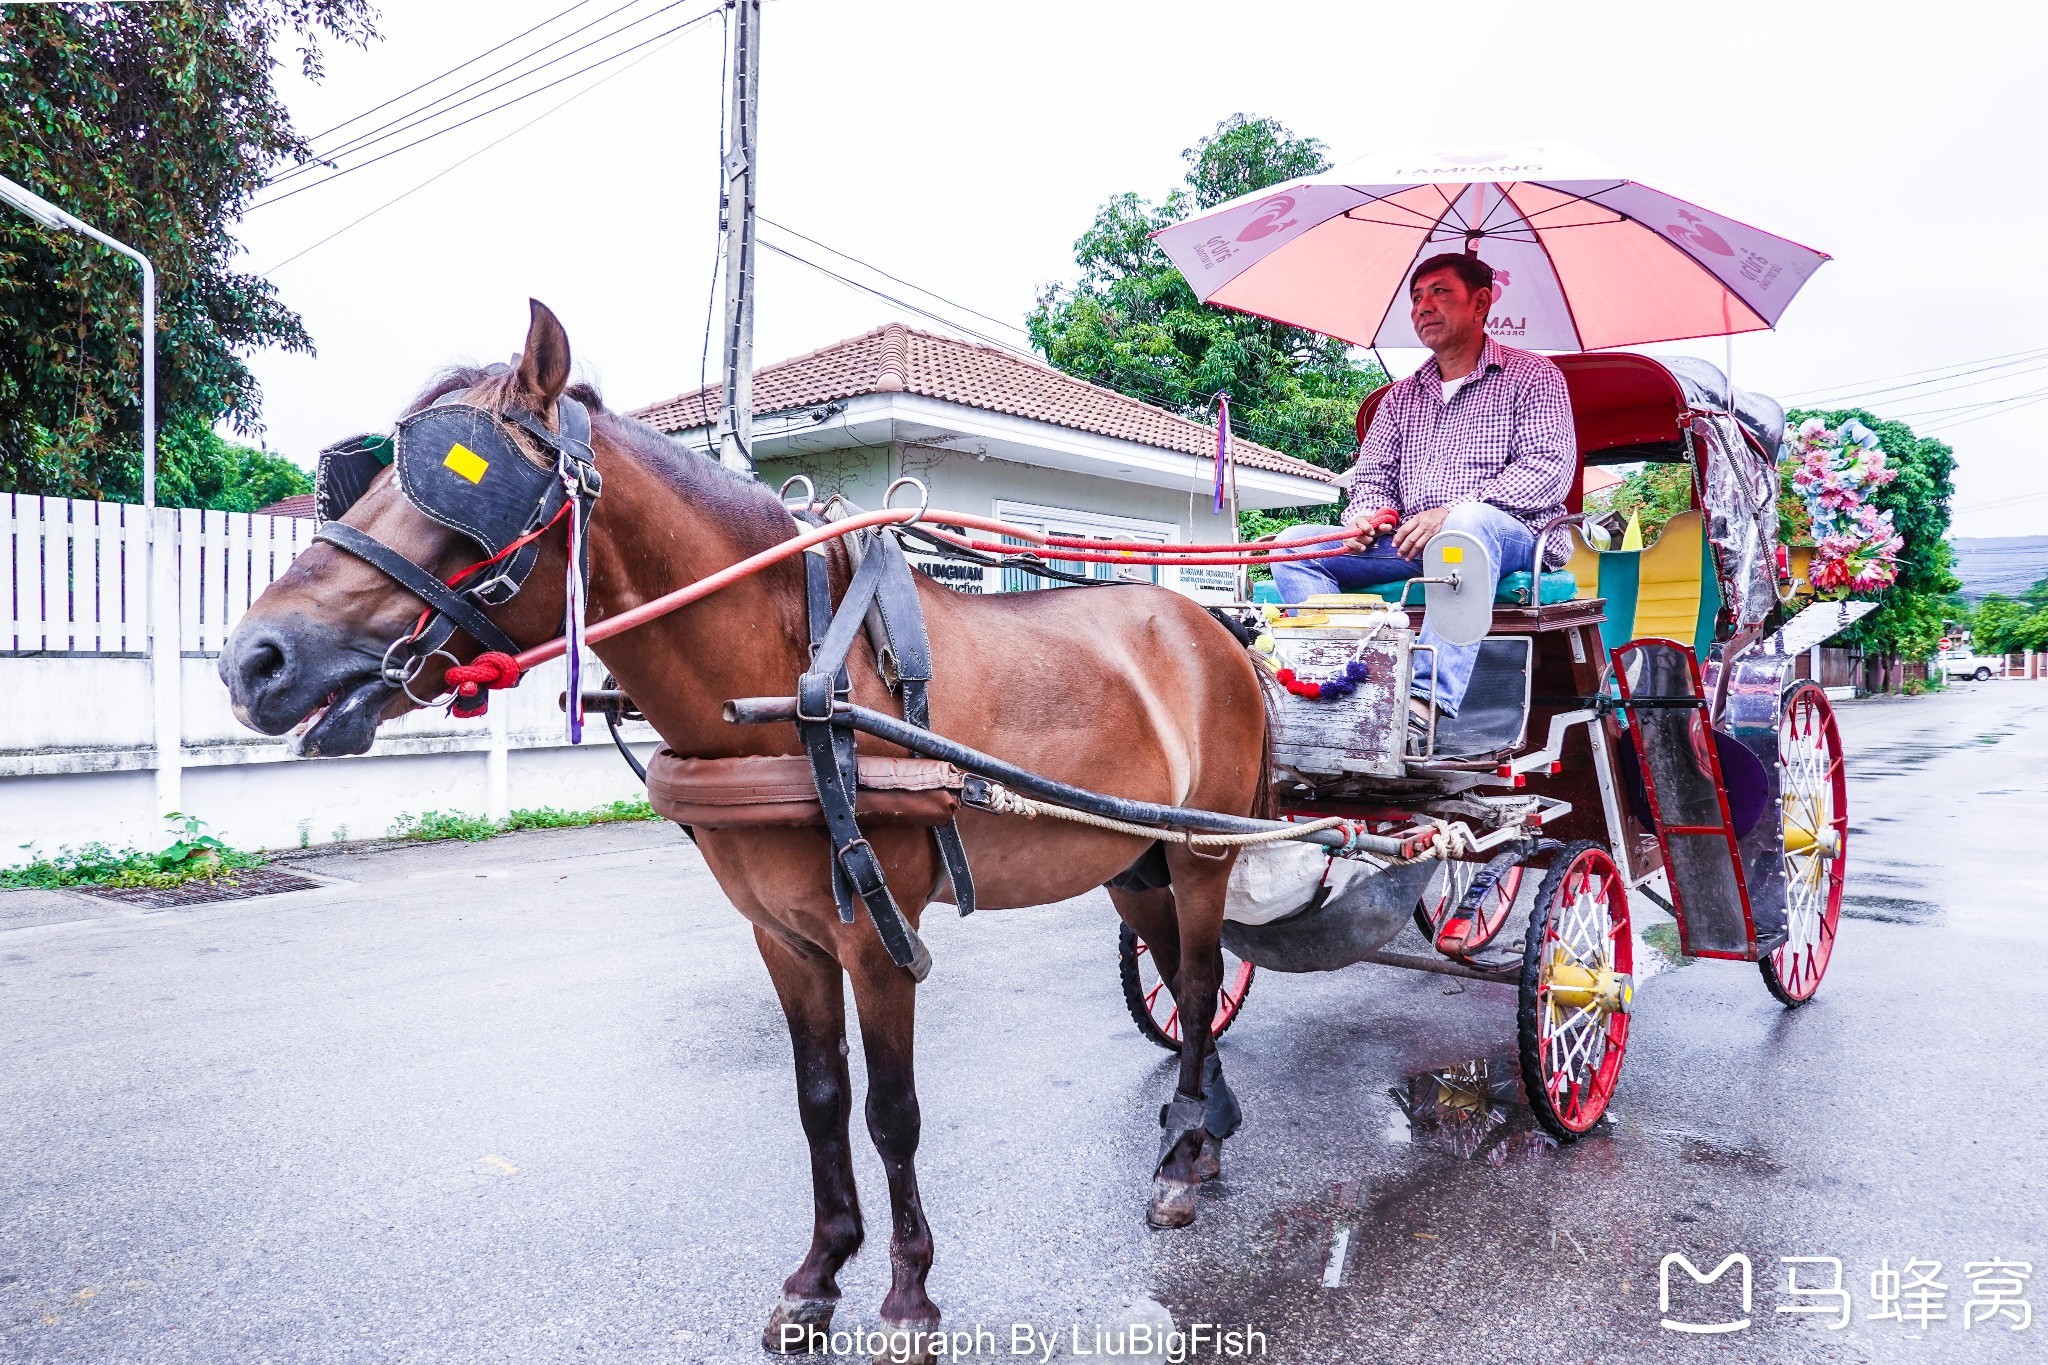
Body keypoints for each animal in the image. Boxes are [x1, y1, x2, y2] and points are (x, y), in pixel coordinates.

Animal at [224, 300, 1269, 1358]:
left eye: (460, 481)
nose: (253, 660)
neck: (795, 674)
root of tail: (1217, 628)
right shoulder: (784, 935)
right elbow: (819, 1101)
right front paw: (820, 1271)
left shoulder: (879, 938)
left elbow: (891, 1112)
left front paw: (908, 1294)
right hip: (1131, 858)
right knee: (1175, 967)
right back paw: (1204, 1125)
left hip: (1203, 850)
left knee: (1198, 980)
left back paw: (1181, 1159)